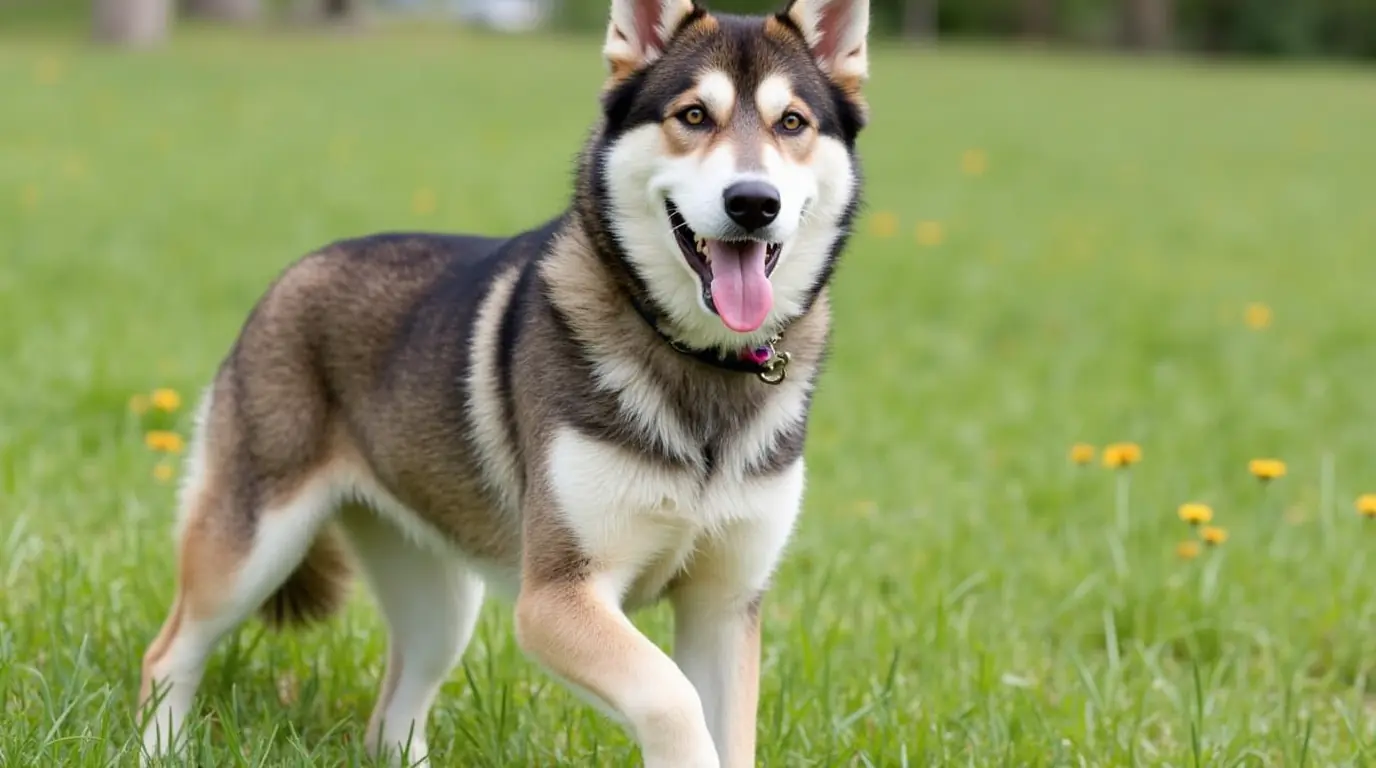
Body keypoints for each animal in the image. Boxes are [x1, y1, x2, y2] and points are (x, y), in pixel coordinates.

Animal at [139, 0, 869, 765]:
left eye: (793, 123)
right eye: (694, 115)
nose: (753, 202)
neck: (701, 365)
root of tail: (292, 273)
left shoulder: (724, 608)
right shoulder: (554, 597)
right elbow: (673, 699)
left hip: (438, 604)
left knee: (391, 720)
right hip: (249, 550)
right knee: (168, 655)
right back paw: (162, 747)